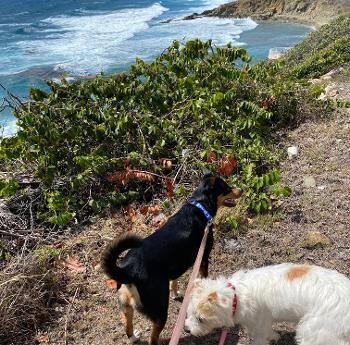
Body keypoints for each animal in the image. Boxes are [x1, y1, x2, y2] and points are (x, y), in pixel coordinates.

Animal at [101, 173, 241, 342]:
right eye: (227, 187)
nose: (241, 190)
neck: (199, 207)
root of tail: (129, 270)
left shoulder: (176, 265)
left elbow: (174, 281)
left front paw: (176, 293)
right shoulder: (203, 258)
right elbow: (203, 278)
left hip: (126, 306)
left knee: (127, 325)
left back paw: (133, 337)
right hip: (160, 311)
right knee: (153, 338)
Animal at [185, 262, 350, 342]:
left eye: (201, 319)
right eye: (188, 314)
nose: (186, 329)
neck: (237, 295)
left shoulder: (259, 326)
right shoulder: (262, 323)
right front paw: (275, 337)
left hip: (313, 331)